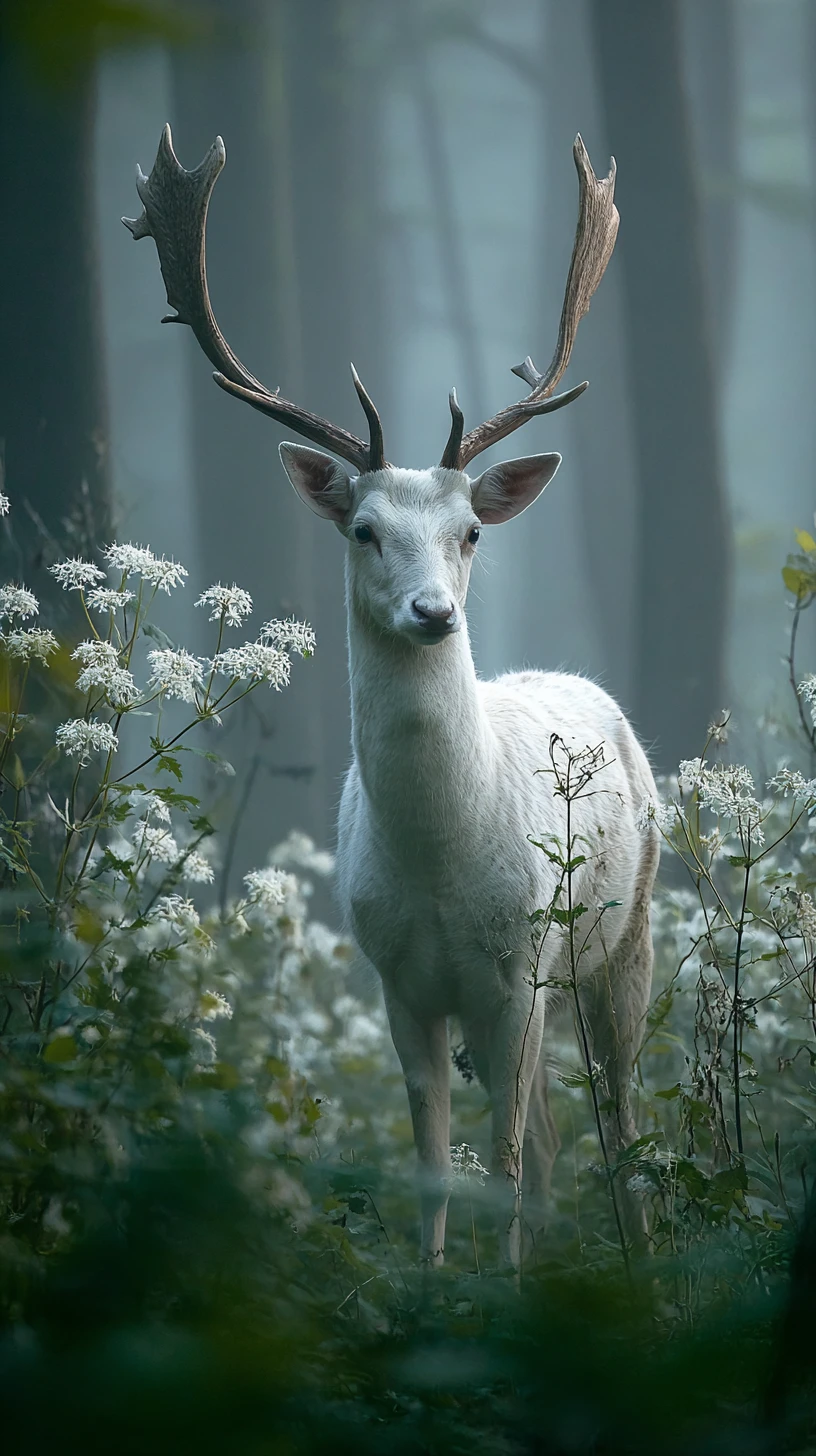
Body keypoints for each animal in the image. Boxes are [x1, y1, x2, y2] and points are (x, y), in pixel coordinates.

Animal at [125, 125, 660, 1268]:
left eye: (472, 531)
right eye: (364, 528)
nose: (433, 611)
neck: (442, 865)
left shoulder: (514, 971)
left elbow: (500, 1165)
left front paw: (502, 1294)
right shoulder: (398, 983)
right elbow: (435, 1170)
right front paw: (435, 1290)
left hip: (619, 937)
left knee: (621, 1121)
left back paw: (641, 1264)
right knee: (558, 1136)